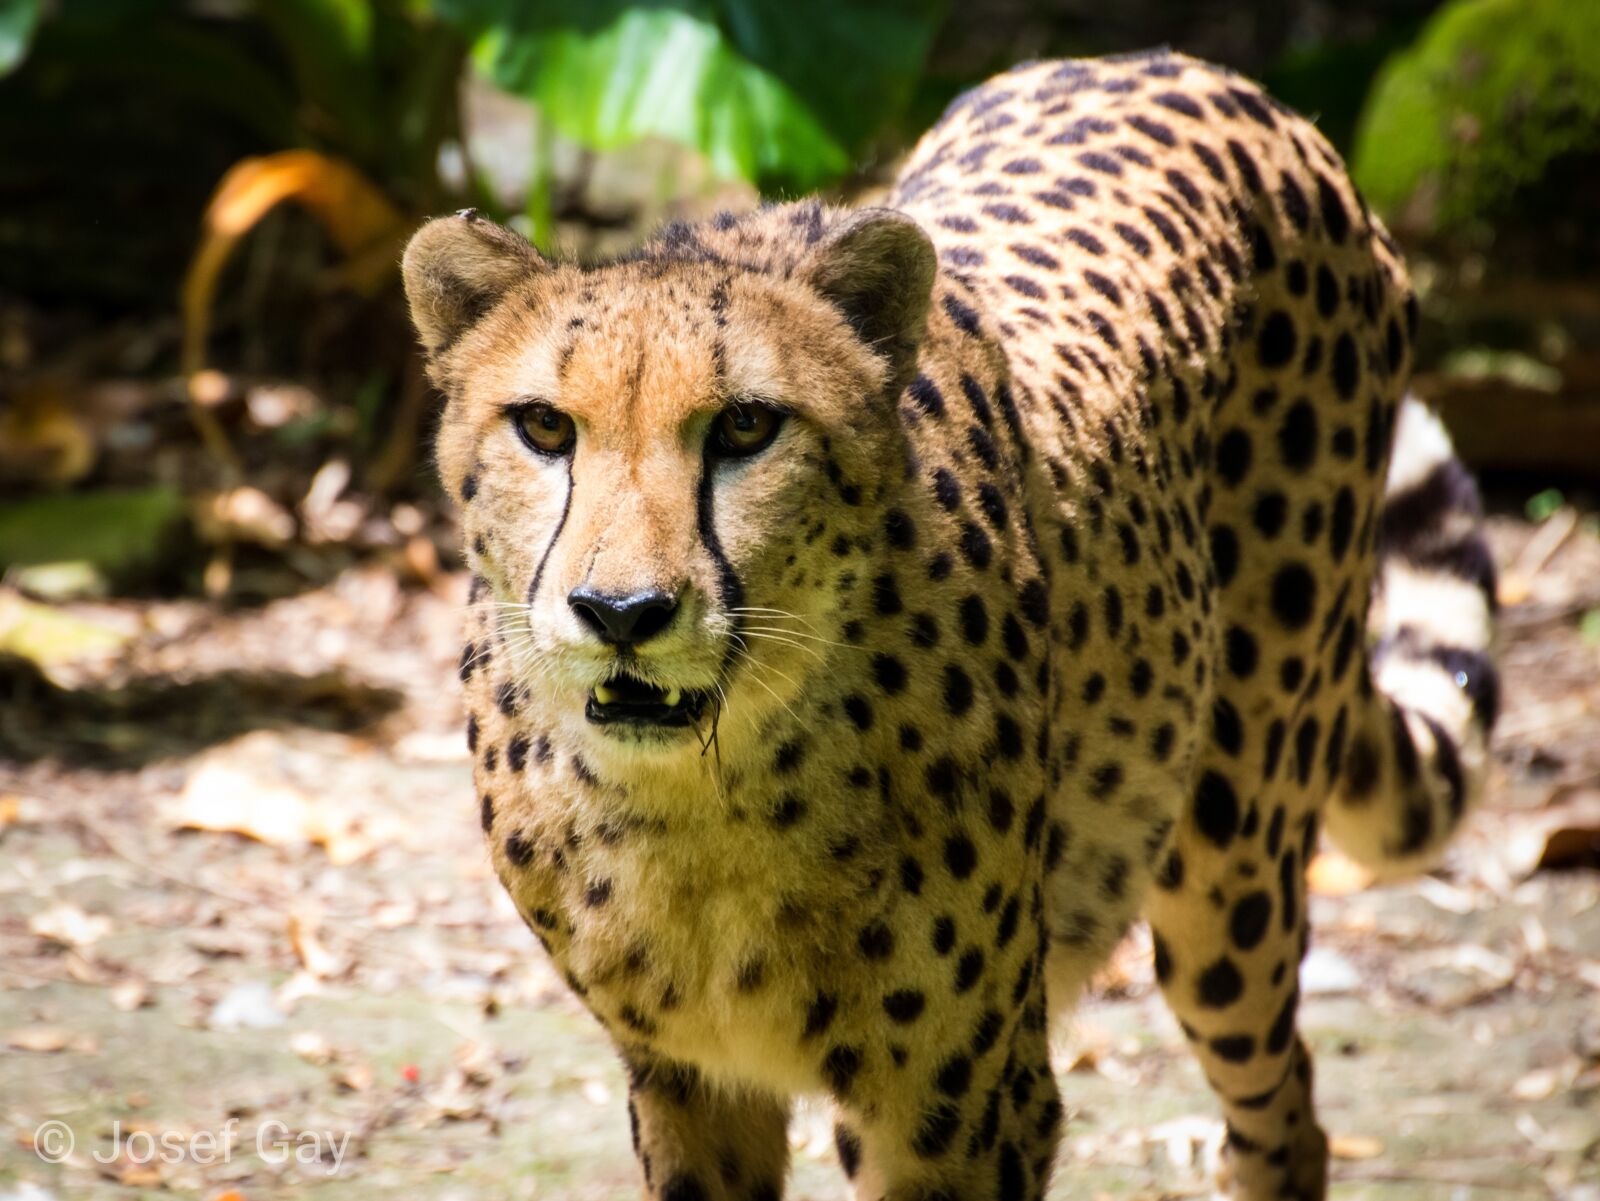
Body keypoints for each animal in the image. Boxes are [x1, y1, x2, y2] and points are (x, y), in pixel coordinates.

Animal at [400, 48, 1498, 1201]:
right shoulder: (689, 1079)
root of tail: (1188, 69)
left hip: (1230, 866)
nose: (622, 613)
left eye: (746, 426)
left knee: (1282, 1111)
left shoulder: (966, 1104)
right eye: (543, 426)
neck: (701, 797)